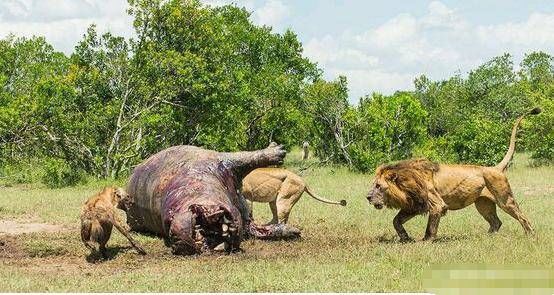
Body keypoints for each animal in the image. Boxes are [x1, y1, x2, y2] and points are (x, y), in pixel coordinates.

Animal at [364, 107, 536, 242]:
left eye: (378, 186)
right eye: (373, 185)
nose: (368, 197)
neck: (406, 181)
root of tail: (495, 168)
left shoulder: (436, 204)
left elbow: (431, 227)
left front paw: (425, 241)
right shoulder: (415, 204)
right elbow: (396, 221)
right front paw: (405, 238)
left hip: (505, 199)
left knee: (523, 217)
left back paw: (531, 236)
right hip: (483, 204)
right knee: (496, 222)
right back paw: (485, 237)